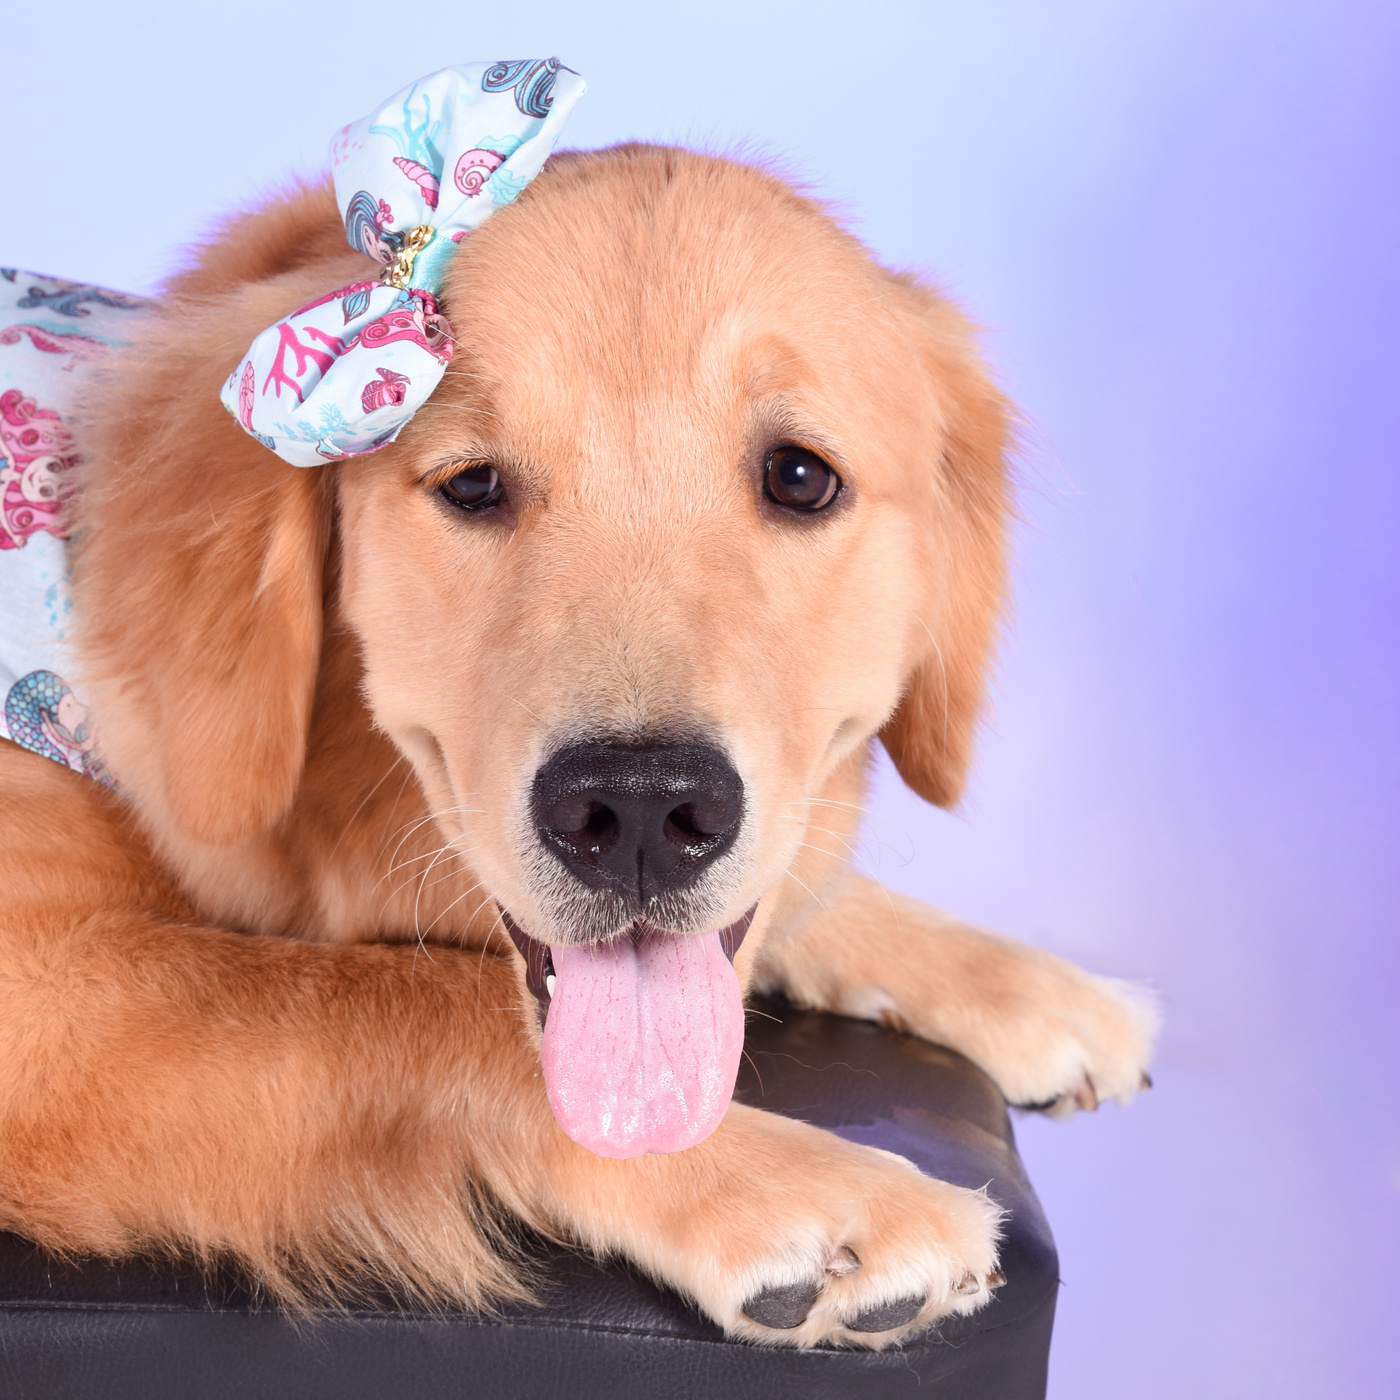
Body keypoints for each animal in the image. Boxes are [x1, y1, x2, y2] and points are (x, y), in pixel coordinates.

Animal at [0, 141, 1155, 1349]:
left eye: (799, 476)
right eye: (471, 483)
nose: (640, 809)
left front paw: (1019, 982)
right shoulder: (38, 991)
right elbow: (419, 999)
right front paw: (815, 1192)